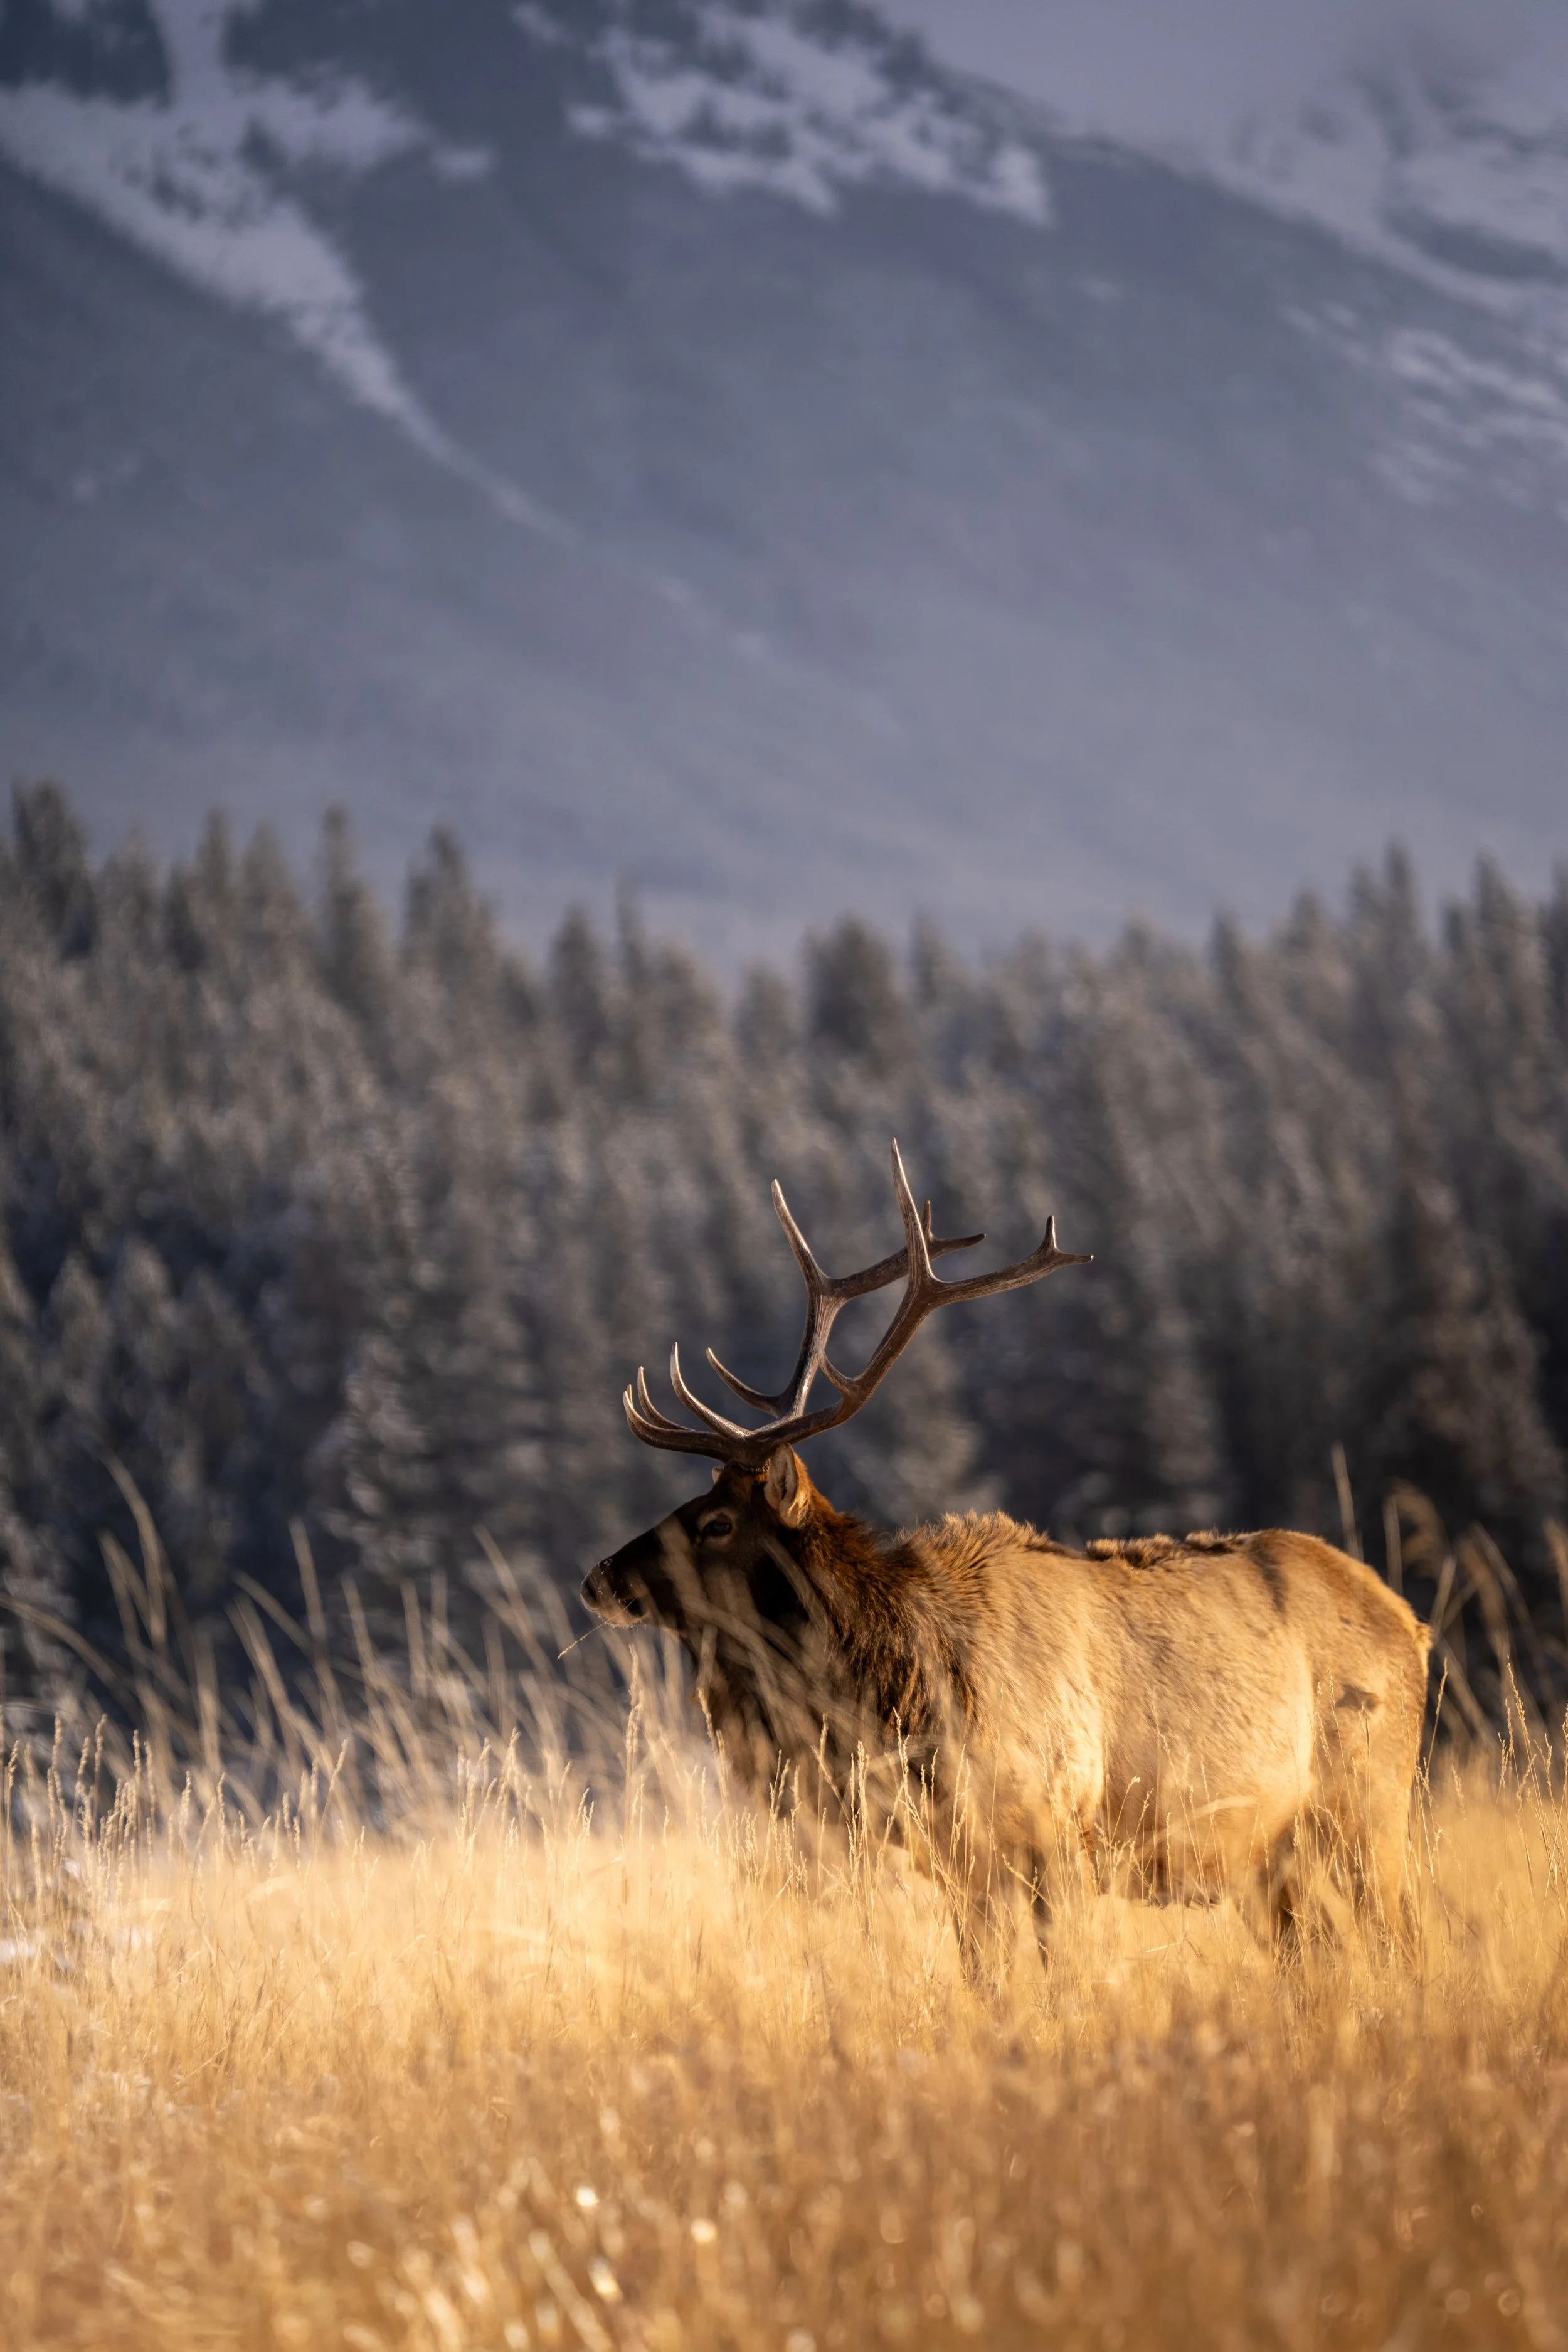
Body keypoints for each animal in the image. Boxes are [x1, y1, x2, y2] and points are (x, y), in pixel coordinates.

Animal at [581, 1143, 1432, 1984]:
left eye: (717, 1522)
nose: (598, 1579)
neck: (899, 1695)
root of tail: (1412, 1625)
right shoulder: (955, 1858)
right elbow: (987, 1980)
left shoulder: (1058, 1828)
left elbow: (1062, 1979)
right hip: (1269, 1856)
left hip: (1367, 1805)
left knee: (1400, 1939)